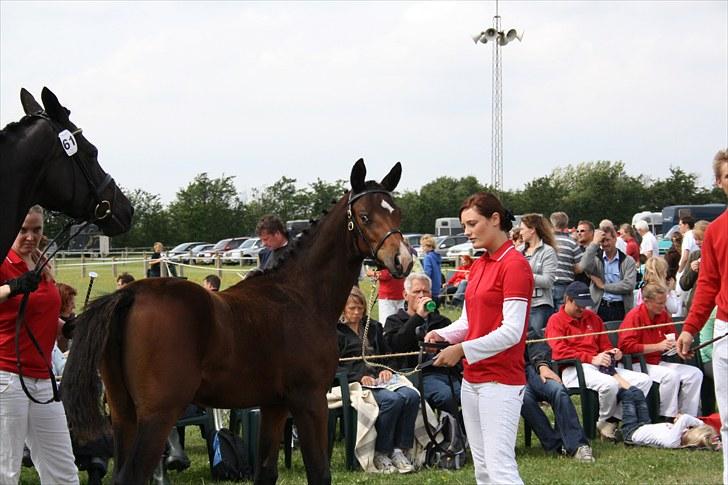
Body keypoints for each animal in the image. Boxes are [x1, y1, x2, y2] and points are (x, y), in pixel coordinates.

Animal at [62, 160, 412, 484]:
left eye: (397, 214)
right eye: (364, 216)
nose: (403, 261)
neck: (300, 295)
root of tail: (130, 294)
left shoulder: (274, 405)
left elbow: (266, 472)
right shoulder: (309, 399)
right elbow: (319, 473)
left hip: (124, 414)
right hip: (158, 415)